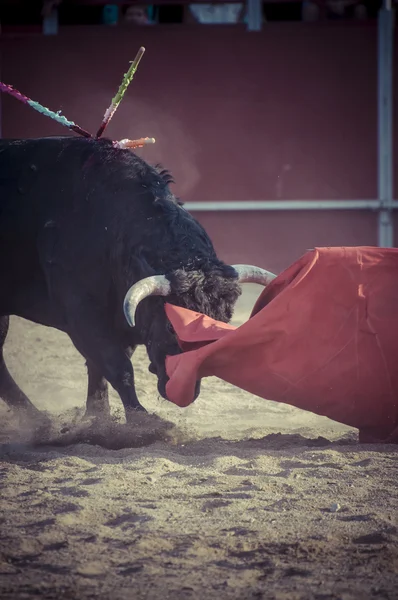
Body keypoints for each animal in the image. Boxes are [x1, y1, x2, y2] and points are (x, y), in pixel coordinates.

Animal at [0, 138, 274, 424]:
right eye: (171, 328)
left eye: (223, 322)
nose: (185, 393)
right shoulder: (81, 314)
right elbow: (118, 367)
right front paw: (139, 422)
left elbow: (99, 371)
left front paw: (98, 418)